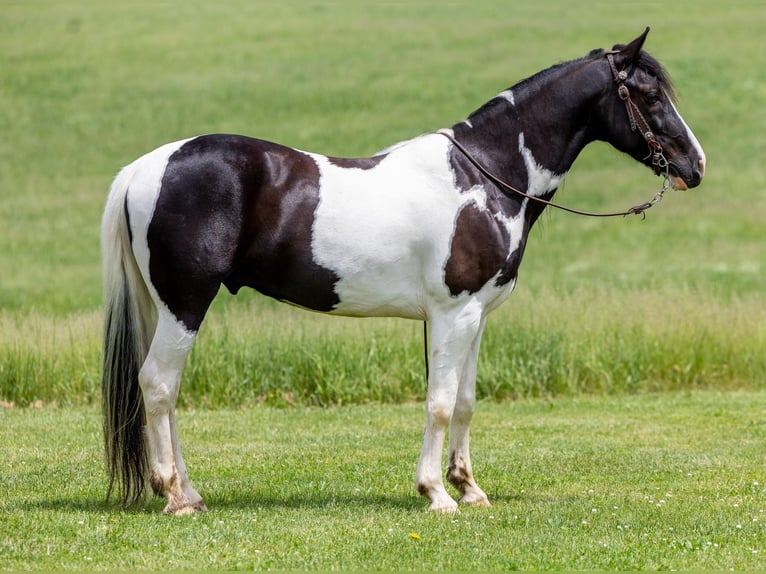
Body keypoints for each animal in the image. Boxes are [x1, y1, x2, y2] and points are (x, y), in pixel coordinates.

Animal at [102, 29, 708, 516]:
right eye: (648, 95)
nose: (695, 166)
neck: (485, 178)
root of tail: (144, 167)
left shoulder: (477, 317)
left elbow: (464, 401)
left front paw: (469, 488)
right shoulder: (451, 314)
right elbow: (438, 403)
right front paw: (437, 494)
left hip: (167, 308)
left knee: (169, 392)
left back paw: (190, 491)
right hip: (185, 304)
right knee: (158, 385)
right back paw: (174, 496)